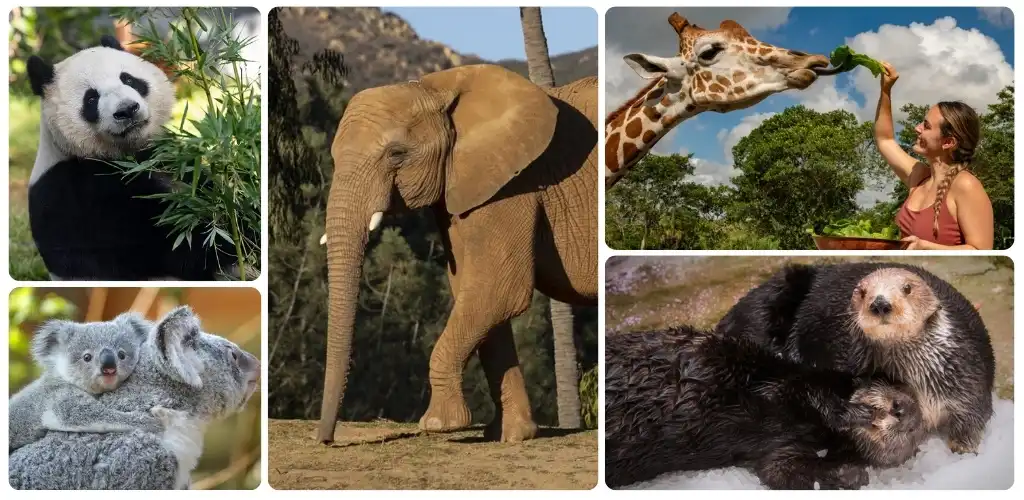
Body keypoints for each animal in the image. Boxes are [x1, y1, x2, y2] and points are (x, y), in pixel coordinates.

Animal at [316, 64, 599, 444]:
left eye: (396, 154)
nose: (326, 440)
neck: (438, 89)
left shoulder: (515, 183)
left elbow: (498, 289)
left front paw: (440, 424)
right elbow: (472, 290)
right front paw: (511, 435)